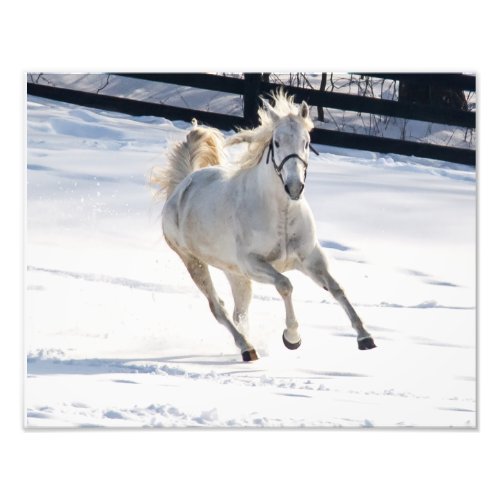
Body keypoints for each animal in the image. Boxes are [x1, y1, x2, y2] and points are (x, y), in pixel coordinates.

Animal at [152, 92, 376, 362]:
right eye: (277, 143)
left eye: (306, 142)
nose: (294, 187)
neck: (281, 215)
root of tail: (182, 186)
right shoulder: (254, 264)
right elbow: (285, 285)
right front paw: (292, 337)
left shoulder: (310, 258)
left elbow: (336, 288)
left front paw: (365, 337)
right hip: (194, 262)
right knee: (218, 308)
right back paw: (247, 348)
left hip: (234, 272)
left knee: (239, 312)